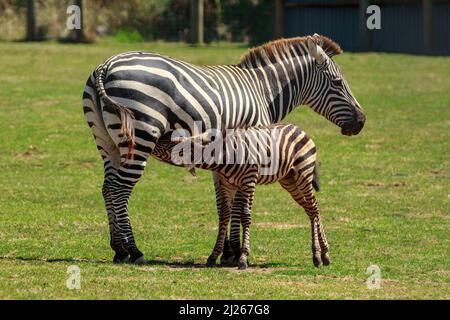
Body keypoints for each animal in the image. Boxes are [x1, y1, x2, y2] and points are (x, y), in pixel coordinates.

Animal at [83, 33, 366, 264]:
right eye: (338, 83)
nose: (362, 121)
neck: (262, 91)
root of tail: (106, 66)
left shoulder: (228, 158)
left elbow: (225, 205)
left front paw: (227, 251)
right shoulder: (252, 148)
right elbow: (239, 204)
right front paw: (236, 253)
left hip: (108, 143)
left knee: (108, 188)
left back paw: (118, 250)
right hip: (141, 134)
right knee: (120, 189)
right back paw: (133, 250)